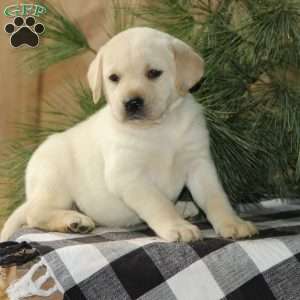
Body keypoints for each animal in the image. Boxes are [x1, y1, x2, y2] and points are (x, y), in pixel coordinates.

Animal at [1, 26, 256, 241]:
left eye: (154, 73)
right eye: (114, 78)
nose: (132, 103)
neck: (160, 128)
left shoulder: (199, 163)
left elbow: (215, 197)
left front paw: (232, 223)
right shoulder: (129, 175)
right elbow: (157, 203)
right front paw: (177, 227)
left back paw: (184, 207)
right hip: (54, 181)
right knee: (36, 213)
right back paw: (73, 220)